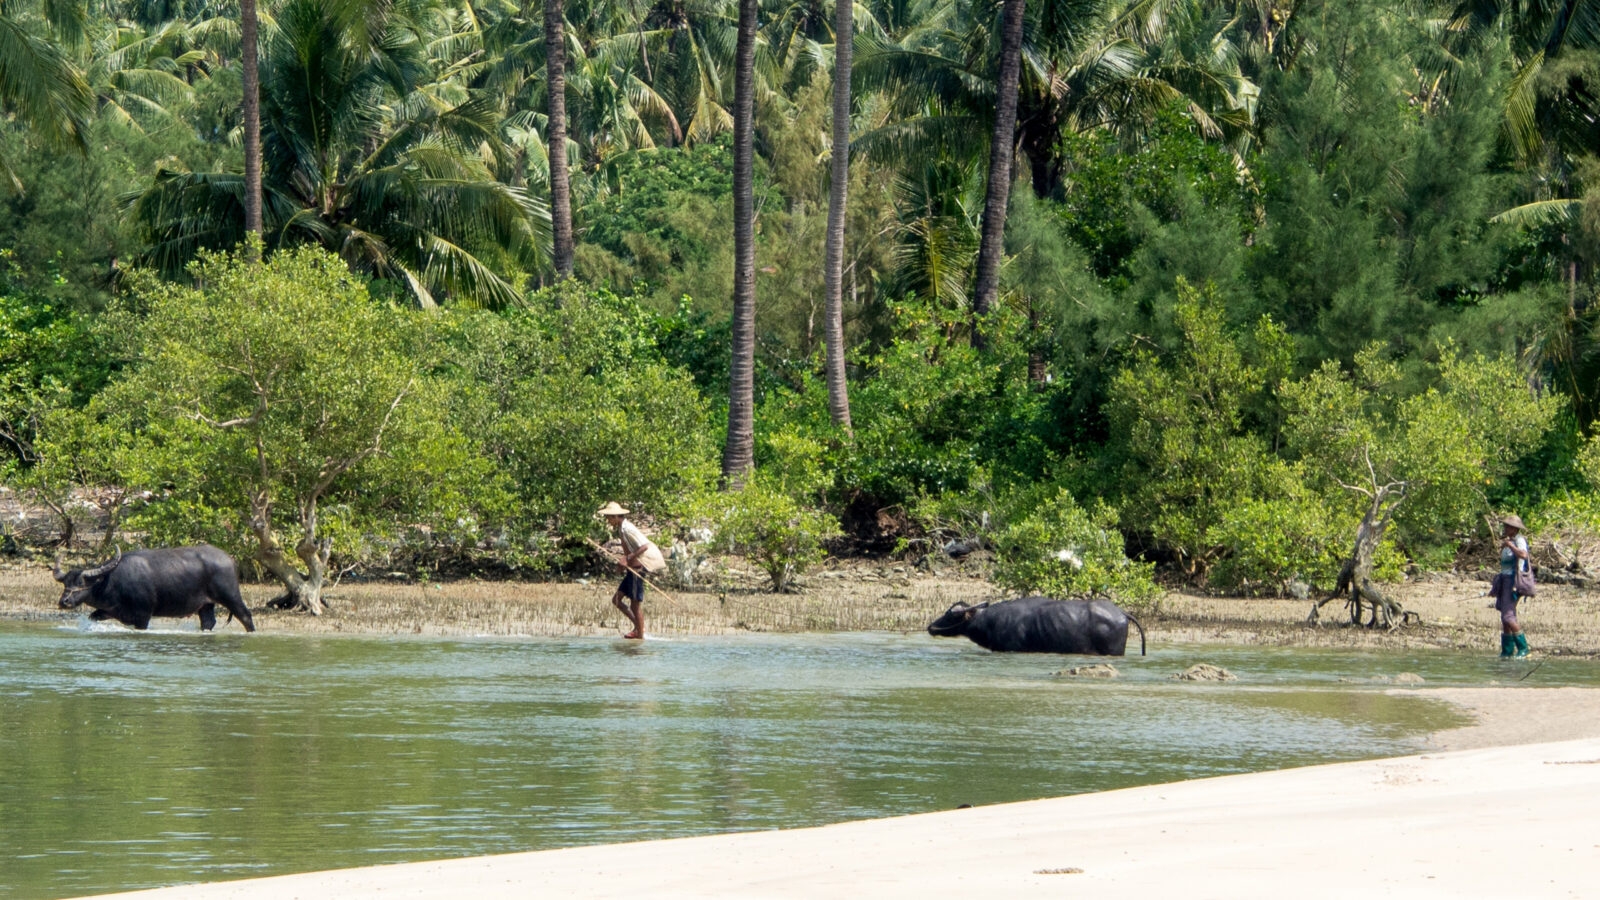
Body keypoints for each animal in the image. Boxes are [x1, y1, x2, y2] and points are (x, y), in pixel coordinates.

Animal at [55, 545, 255, 632]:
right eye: (65, 583)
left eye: (81, 583)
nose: (64, 601)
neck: (109, 581)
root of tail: (230, 559)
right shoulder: (108, 611)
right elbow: (93, 617)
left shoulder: (143, 615)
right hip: (206, 605)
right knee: (208, 622)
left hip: (230, 596)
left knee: (245, 616)